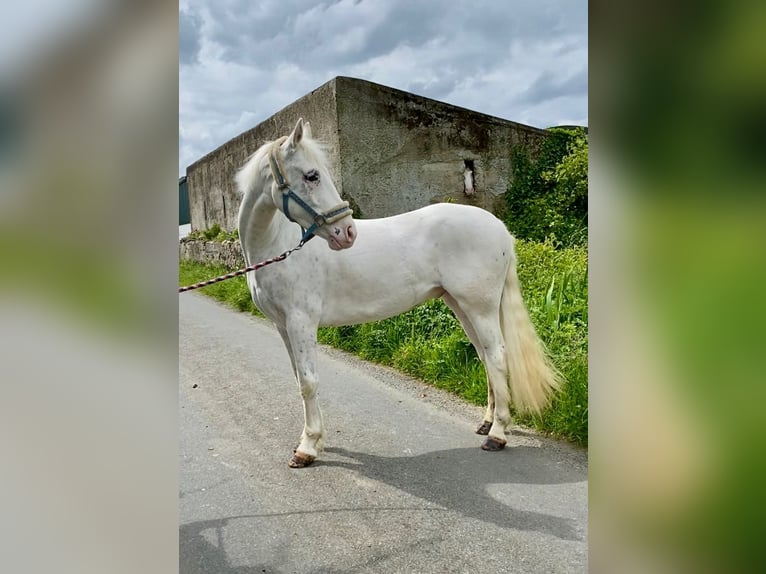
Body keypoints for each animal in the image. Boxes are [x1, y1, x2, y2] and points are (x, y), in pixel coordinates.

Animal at [237, 119, 560, 470]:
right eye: (312, 175)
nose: (347, 233)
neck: (278, 246)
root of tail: (500, 229)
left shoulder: (301, 322)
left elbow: (309, 382)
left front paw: (307, 448)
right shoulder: (283, 326)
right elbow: (299, 379)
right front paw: (311, 439)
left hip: (480, 307)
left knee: (498, 356)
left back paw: (497, 434)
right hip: (461, 306)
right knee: (485, 355)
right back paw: (487, 423)